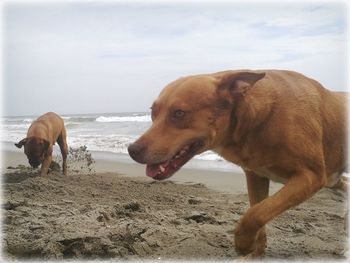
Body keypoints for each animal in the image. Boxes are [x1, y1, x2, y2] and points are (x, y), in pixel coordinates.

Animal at [129, 69, 348, 258]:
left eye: (179, 113)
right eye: (153, 112)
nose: (132, 150)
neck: (258, 118)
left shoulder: (311, 176)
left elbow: (256, 213)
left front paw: (243, 242)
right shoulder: (256, 175)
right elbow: (257, 210)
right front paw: (255, 252)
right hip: (332, 178)